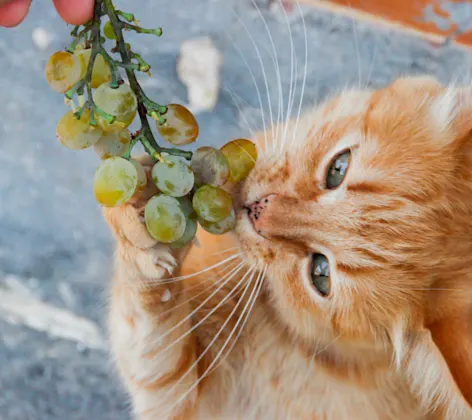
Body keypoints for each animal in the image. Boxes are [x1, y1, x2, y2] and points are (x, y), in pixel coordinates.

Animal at [102, 76, 472, 420]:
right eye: (338, 168)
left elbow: (150, 340)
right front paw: (138, 206)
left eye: (320, 274)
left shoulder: (186, 397)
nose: (257, 211)